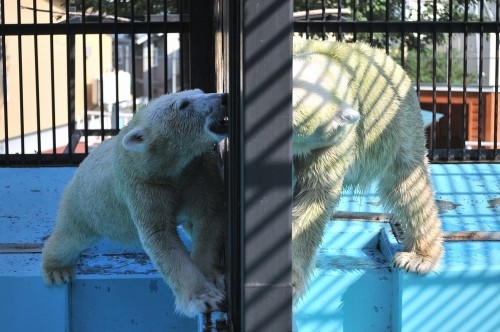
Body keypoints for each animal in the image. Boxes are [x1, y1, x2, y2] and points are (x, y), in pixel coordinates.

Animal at [41, 89, 229, 318]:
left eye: (200, 91)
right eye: (183, 104)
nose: (223, 98)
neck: (167, 167)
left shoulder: (198, 170)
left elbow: (209, 216)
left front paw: (213, 278)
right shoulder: (143, 186)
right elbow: (160, 237)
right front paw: (204, 298)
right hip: (85, 203)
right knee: (70, 235)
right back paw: (56, 270)